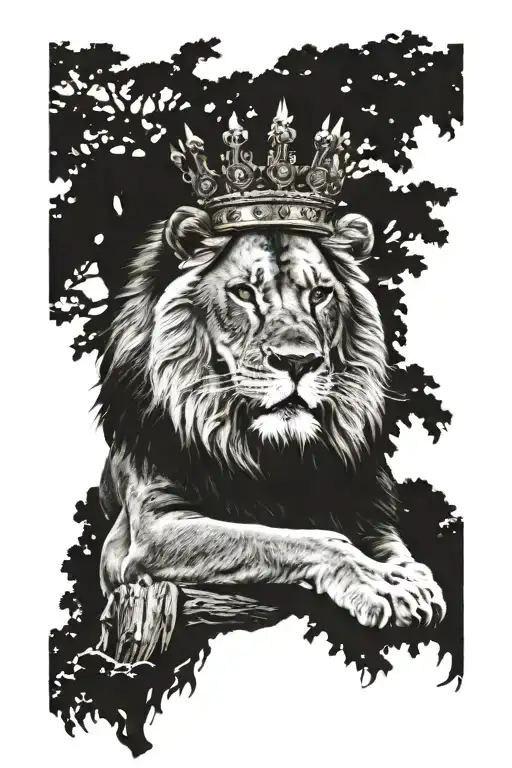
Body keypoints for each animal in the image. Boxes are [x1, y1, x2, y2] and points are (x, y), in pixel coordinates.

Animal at [96, 205, 446, 633]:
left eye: (319, 294)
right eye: (244, 293)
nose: (298, 361)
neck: (276, 454)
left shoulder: (373, 518)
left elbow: (401, 554)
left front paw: (414, 581)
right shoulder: (145, 535)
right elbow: (295, 537)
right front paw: (381, 586)